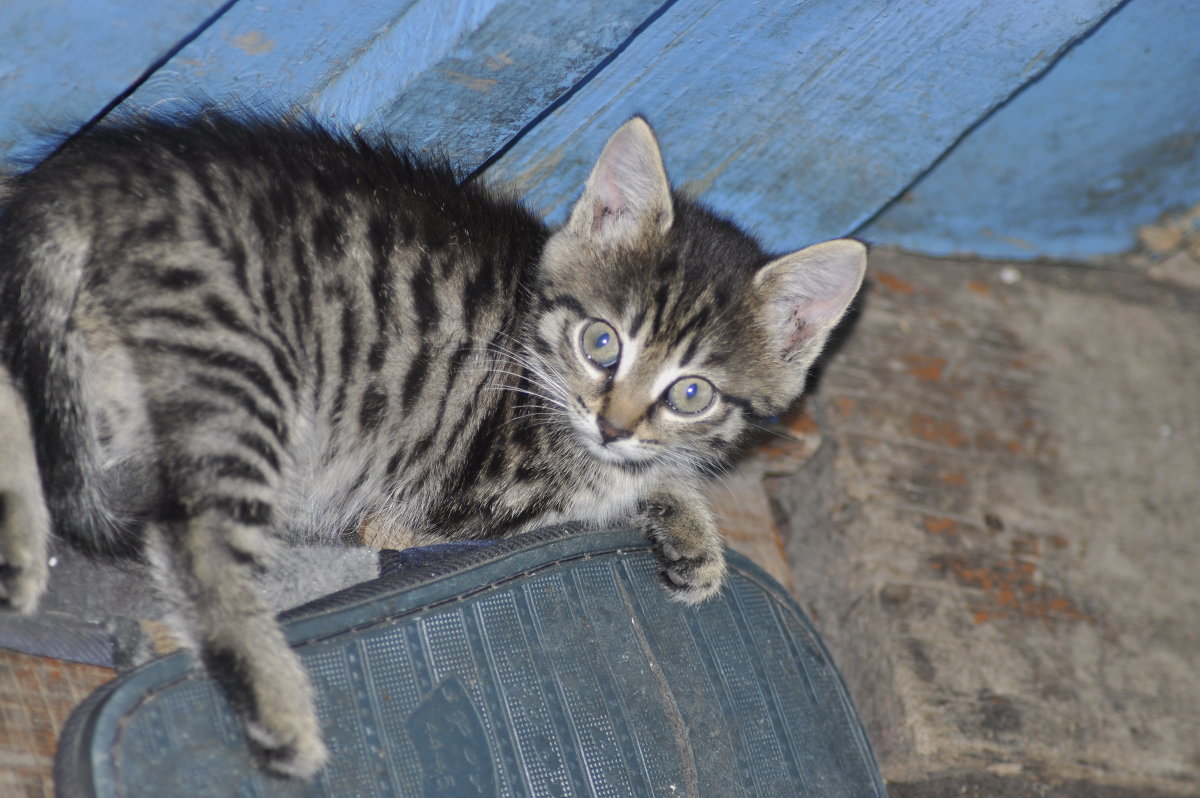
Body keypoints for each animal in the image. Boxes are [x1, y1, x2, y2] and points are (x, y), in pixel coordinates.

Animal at [0, 115, 864, 772]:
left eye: (691, 393)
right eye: (602, 342)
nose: (614, 424)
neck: (531, 341)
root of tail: (92, 173)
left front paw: (691, 528)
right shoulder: (460, 503)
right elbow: (580, 500)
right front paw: (671, 504)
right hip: (241, 363)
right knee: (196, 537)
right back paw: (279, 704)